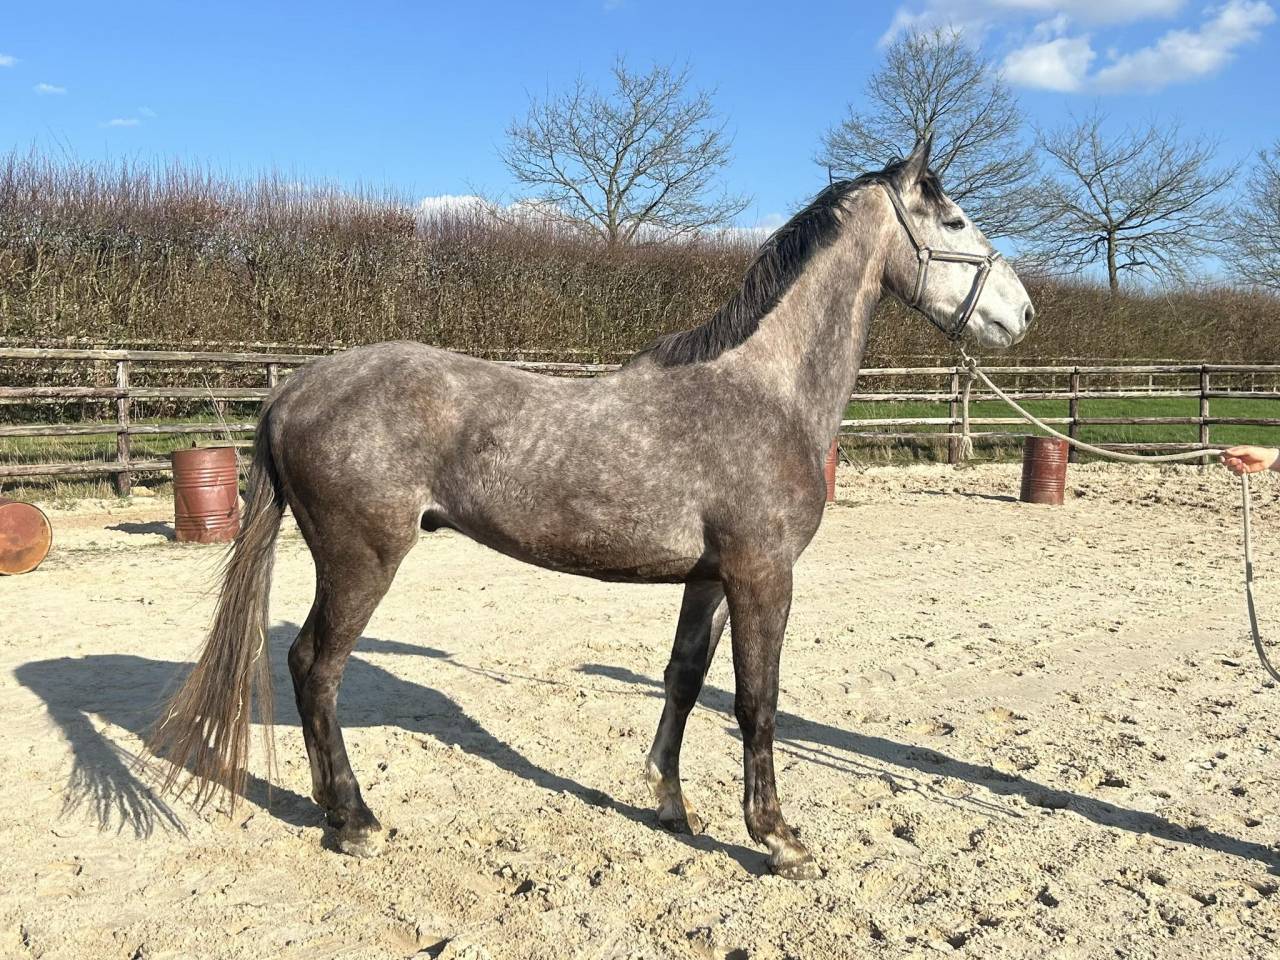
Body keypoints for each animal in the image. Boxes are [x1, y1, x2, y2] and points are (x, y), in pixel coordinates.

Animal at [149, 137, 1034, 880]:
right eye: (953, 218)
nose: (1024, 312)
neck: (764, 392)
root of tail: (294, 390)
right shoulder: (763, 574)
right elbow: (757, 702)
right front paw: (779, 839)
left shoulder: (709, 578)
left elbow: (683, 678)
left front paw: (670, 802)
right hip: (360, 560)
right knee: (314, 668)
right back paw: (353, 821)